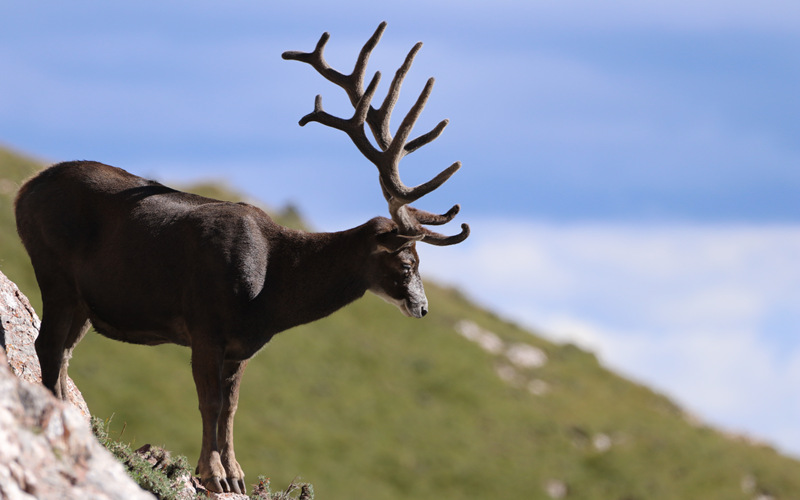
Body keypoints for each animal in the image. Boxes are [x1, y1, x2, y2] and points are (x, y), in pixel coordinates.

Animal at [14, 22, 468, 492]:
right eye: (409, 262)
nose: (422, 307)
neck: (269, 292)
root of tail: (24, 190)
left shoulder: (241, 346)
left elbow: (231, 407)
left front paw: (235, 475)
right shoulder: (204, 324)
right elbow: (210, 402)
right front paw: (213, 474)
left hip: (84, 300)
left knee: (64, 353)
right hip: (53, 268)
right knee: (48, 346)